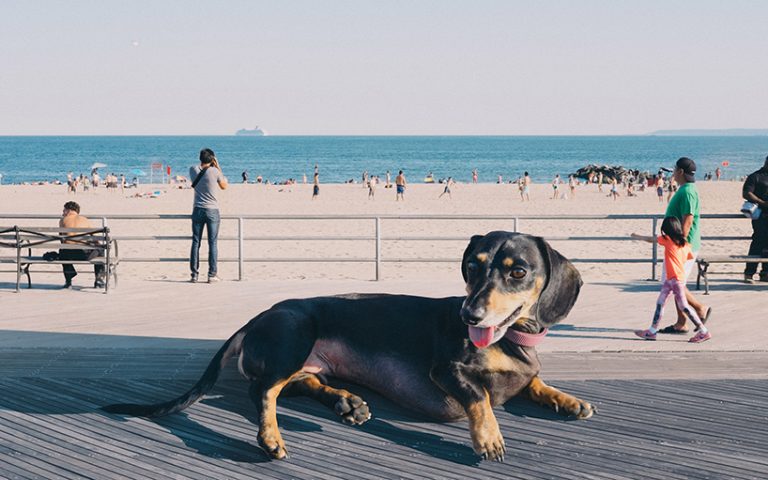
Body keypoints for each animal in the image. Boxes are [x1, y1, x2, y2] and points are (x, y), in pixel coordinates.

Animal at [102, 231, 592, 464]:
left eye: (517, 271)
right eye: (472, 266)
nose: (468, 316)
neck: (512, 340)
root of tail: (256, 318)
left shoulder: (524, 372)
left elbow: (536, 383)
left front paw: (568, 400)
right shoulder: (445, 371)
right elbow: (480, 398)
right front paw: (489, 437)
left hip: (307, 361)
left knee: (298, 385)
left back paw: (347, 404)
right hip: (295, 332)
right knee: (264, 391)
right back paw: (272, 437)